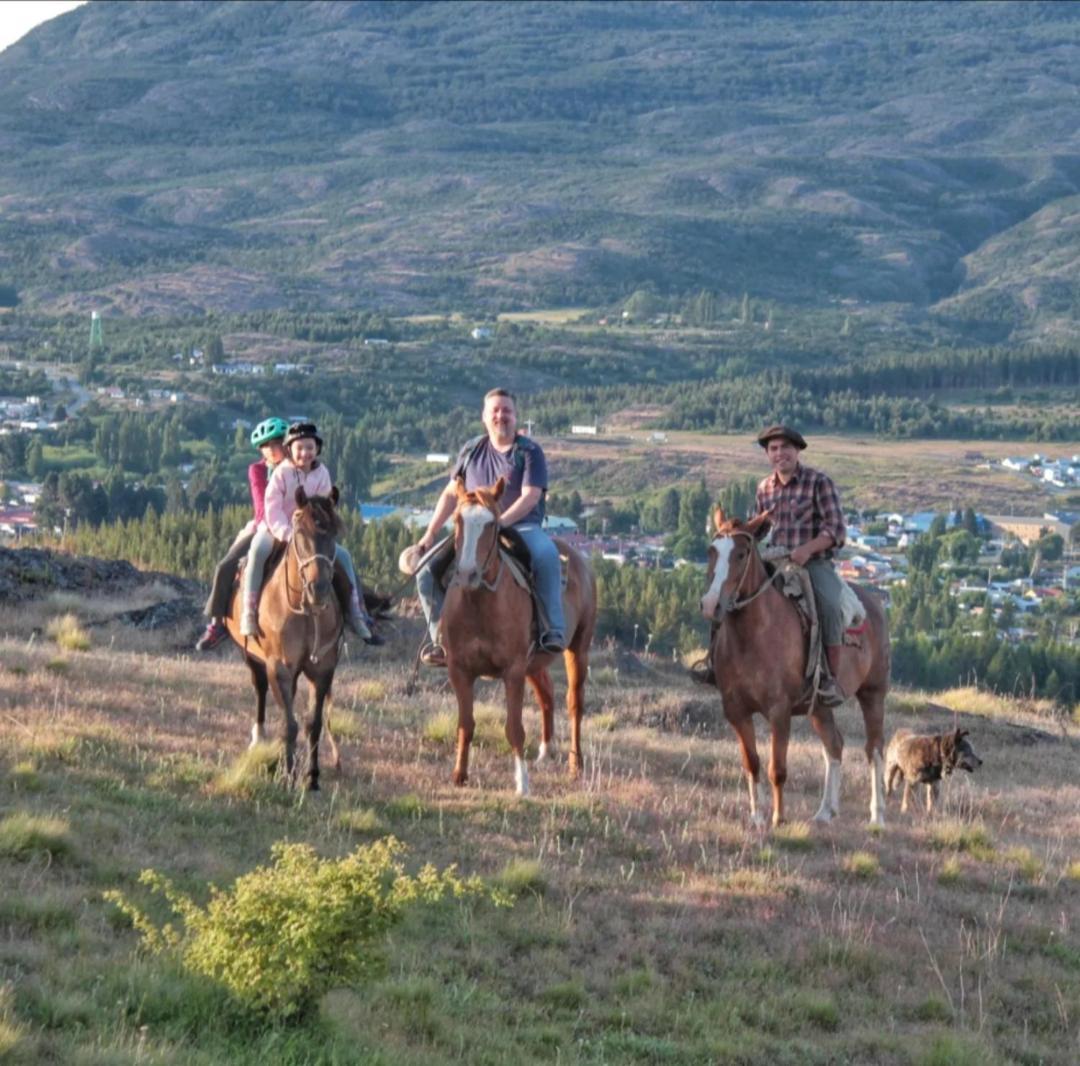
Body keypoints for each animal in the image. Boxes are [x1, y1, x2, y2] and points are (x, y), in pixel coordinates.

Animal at [225, 488, 343, 786]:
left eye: (336, 531)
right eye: (299, 532)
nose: (318, 589)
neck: (305, 612)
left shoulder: (322, 670)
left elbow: (313, 724)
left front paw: (312, 776)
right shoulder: (279, 668)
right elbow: (290, 724)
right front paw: (289, 774)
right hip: (250, 656)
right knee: (260, 689)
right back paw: (259, 738)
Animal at [440, 479, 600, 794]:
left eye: (492, 523)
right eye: (457, 519)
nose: (467, 574)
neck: (479, 604)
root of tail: (579, 559)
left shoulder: (512, 671)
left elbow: (514, 728)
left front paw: (522, 784)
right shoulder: (459, 670)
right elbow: (466, 724)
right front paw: (459, 775)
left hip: (578, 650)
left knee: (574, 704)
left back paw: (575, 765)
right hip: (534, 664)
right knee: (546, 695)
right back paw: (545, 752)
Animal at [695, 511, 889, 829]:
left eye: (742, 553)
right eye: (712, 551)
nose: (711, 604)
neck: (754, 636)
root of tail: (875, 603)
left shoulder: (779, 710)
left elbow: (777, 768)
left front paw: (778, 818)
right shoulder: (736, 710)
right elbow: (752, 763)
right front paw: (757, 817)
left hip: (873, 694)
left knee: (874, 749)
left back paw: (877, 816)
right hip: (819, 707)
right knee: (834, 746)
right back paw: (825, 812)